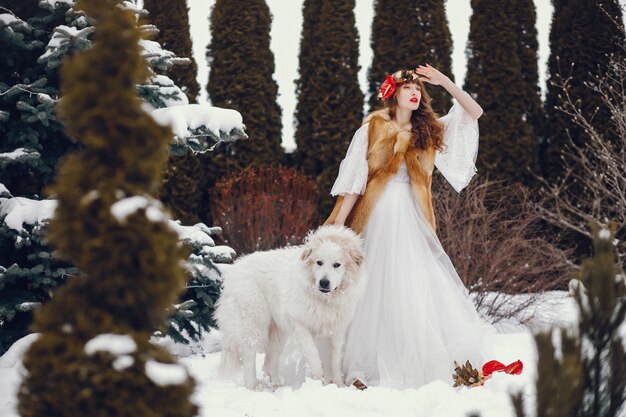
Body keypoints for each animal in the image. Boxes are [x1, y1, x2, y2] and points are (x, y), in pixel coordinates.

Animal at [214, 226, 366, 388]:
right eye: (319, 262)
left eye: (337, 265)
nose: (324, 283)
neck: (324, 299)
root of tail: (235, 268)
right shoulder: (299, 323)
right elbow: (312, 352)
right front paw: (319, 377)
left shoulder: (338, 330)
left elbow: (336, 360)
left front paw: (339, 385)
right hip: (254, 323)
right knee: (249, 355)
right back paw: (253, 387)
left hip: (277, 332)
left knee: (270, 360)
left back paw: (276, 386)